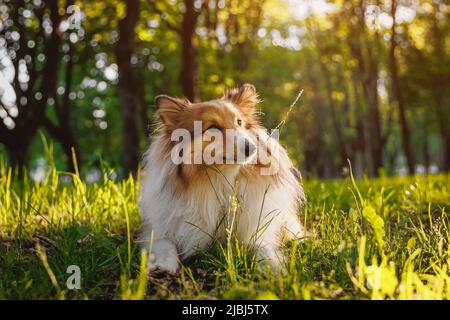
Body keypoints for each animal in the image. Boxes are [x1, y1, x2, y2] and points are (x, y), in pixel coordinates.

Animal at [140, 83, 306, 272]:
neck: (220, 180)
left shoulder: (254, 229)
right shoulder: (159, 229)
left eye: (239, 122)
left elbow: (262, 246)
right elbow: (164, 244)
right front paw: (164, 264)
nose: (252, 148)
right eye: (213, 127)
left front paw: (274, 266)